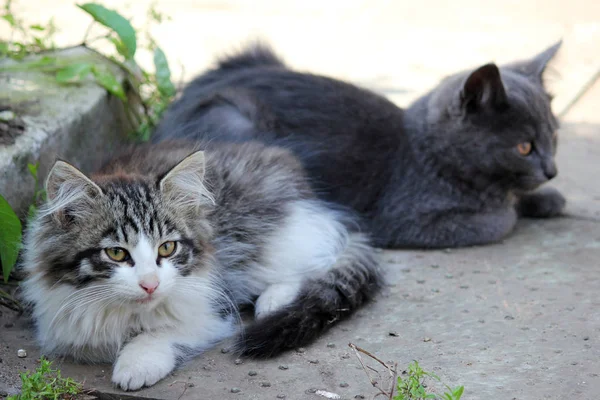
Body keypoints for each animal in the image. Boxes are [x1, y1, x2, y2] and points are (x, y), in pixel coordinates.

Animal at [22, 140, 384, 390]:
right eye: (116, 254)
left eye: (167, 248)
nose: (151, 284)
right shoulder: (67, 324)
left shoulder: (210, 305)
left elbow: (163, 330)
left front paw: (136, 364)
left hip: (266, 238)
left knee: (318, 257)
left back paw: (275, 300)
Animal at [154, 40, 568, 247]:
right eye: (524, 148)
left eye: (554, 136)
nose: (552, 170)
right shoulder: (403, 220)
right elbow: (500, 220)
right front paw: (517, 206)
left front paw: (546, 198)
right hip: (232, 120)